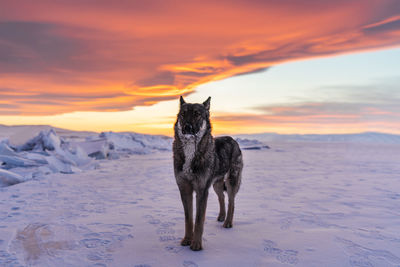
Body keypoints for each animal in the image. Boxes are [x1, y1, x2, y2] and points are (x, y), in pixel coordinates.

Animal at [171, 96, 241, 251]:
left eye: (197, 114)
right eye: (183, 114)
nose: (187, 127)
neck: (191, 151)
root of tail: (233, 139)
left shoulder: (202, 190)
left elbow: (199, 220)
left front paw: (196, 245)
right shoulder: (184, 189)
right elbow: (189, 219)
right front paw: (187, 240)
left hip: (231, 181)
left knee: (232, 202)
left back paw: (227, 222)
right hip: (216, 184)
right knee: (221, 197)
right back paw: (221, 217)